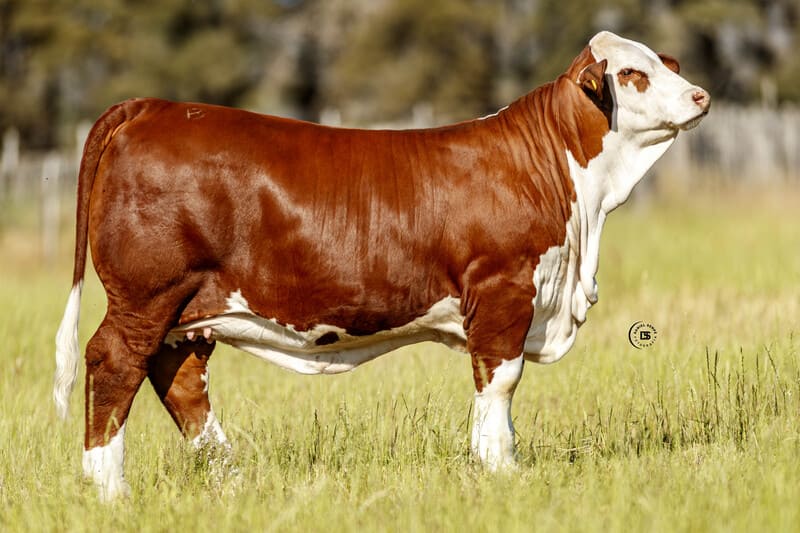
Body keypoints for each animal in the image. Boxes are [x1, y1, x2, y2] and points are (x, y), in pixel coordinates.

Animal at [54, 31, 709, 500]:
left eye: (665, 63)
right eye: (633, 73)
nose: (700, 95)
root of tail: (154, 106)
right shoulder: (503, 291)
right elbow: (500, 382)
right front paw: (502, 470)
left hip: (188, 309)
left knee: (180, 376)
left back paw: (230, 477)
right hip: (146, 294)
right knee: (115, 362)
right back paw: (109, 488)